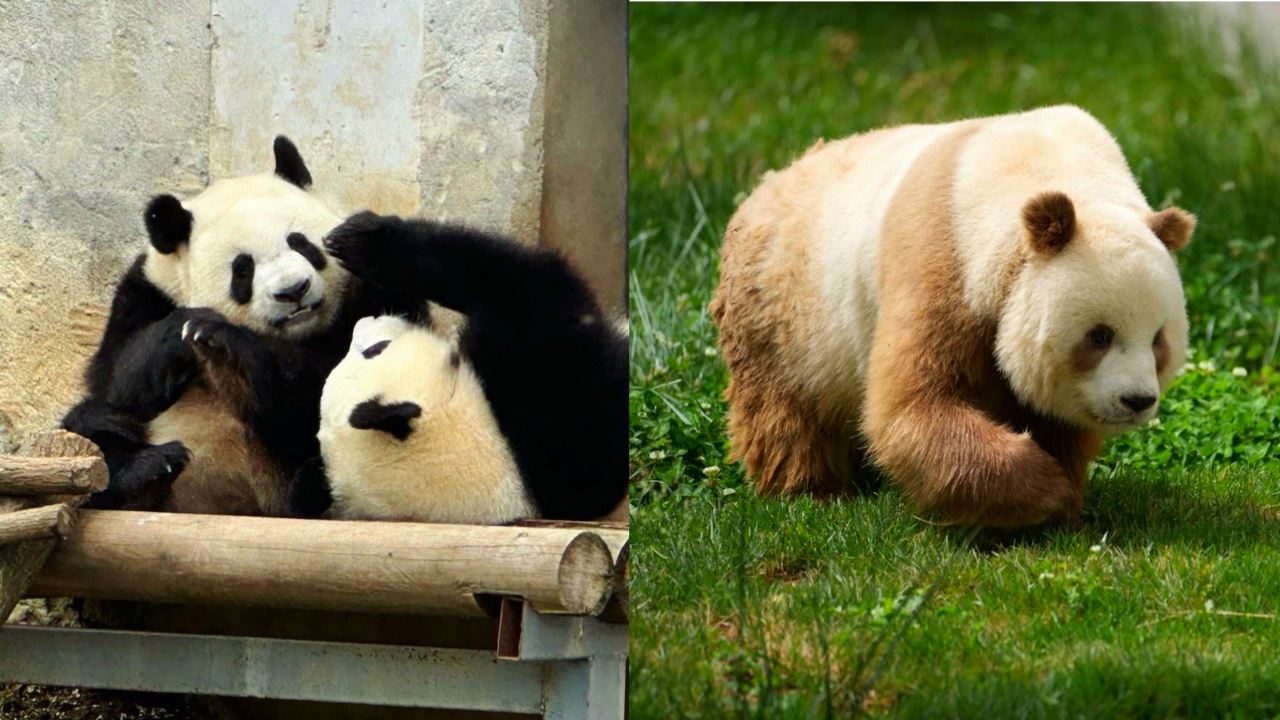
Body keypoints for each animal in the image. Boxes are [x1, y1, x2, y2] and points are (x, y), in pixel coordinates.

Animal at [63, 137, 423, 514]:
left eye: (301, 243)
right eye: (243, 269)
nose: (293, 290)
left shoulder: (363, 296)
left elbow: (323, 379)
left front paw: (225, 344)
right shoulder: (146, 294)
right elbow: (118, 378)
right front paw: (191, 329)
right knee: (92, 422)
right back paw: (146, 470)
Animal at [711, 105, 1194, 528]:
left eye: (1158, 339)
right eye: (1099, 336)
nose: (1137, 400)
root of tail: (766, 184)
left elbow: (1056, 422)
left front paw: (1063, 505)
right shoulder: (943, 253)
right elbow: (914, 404)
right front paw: (1042, 490)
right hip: (781, 310)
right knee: (784, 413)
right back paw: (811, 492)